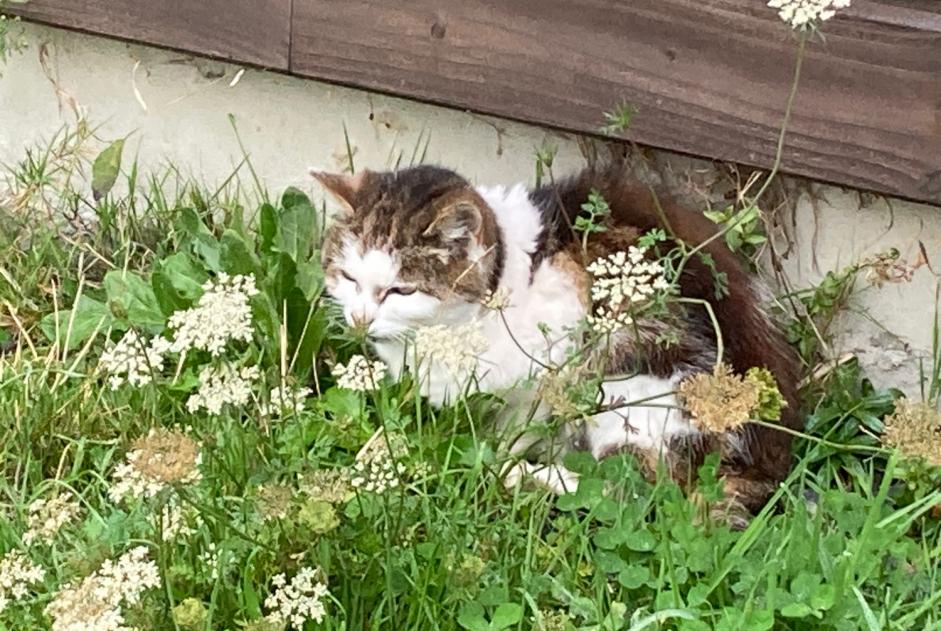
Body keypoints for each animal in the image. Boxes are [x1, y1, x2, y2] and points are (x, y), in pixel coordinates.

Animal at [318, 164, 800, 524]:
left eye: (401, 291)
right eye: (348, 277)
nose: (360, 319)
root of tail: (765, 471)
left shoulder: (551, 361)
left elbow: (516, 429)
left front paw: (493, 458)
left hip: (631, 387)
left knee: (637, 492)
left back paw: (522, 477)